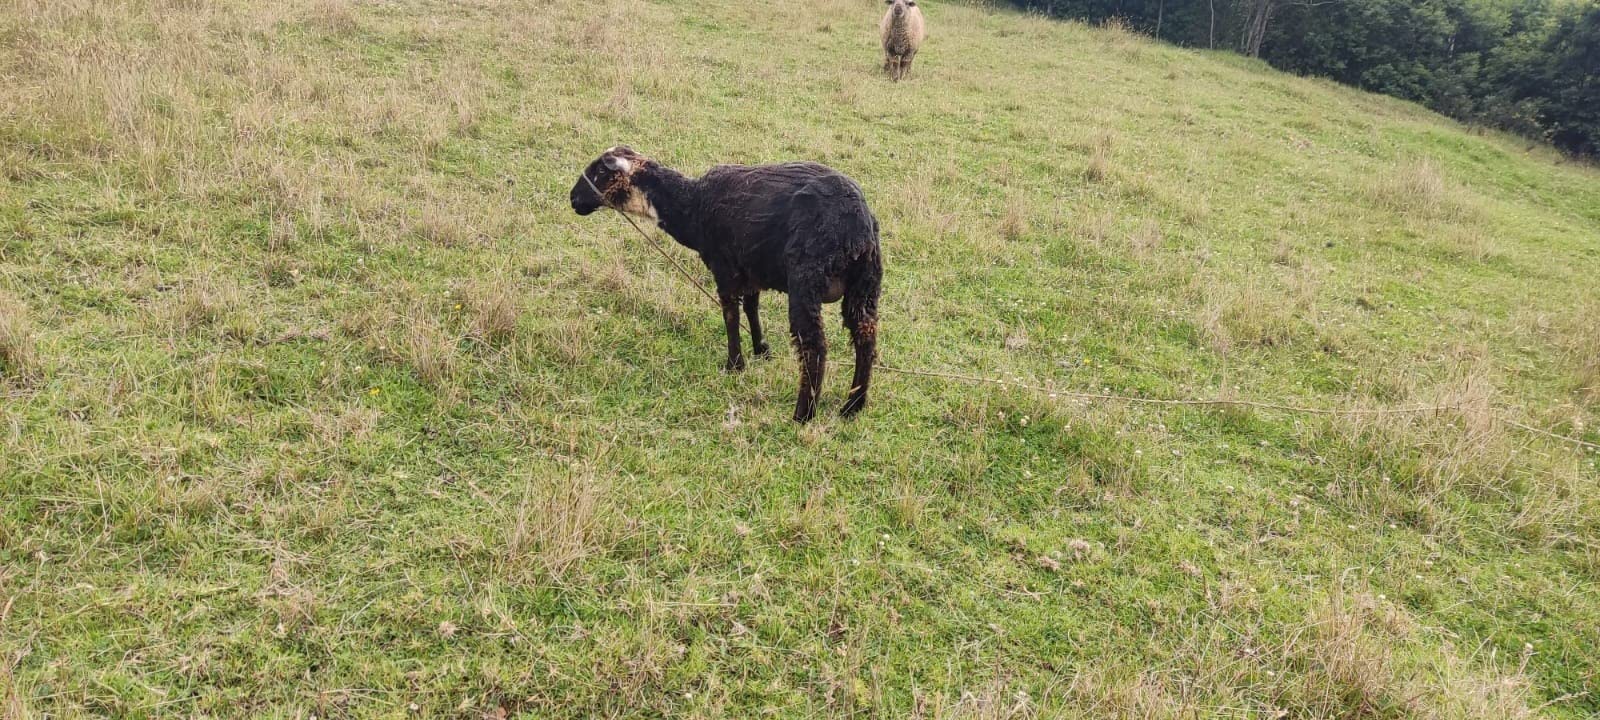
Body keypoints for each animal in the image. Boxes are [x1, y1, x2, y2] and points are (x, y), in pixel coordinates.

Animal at [569, 146, 883, 424]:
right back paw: (853, 406)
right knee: (865, 337)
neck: (691, 206)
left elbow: (731, 316)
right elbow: (752, 308)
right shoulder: (750, 270)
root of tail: (856, 227)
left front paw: (735, 365)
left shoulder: (724, 268)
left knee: (814, 346)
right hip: (866, 284)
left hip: (807, 279)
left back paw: (803, 415)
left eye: (600, 171)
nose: (573, 198)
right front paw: (761, 350)